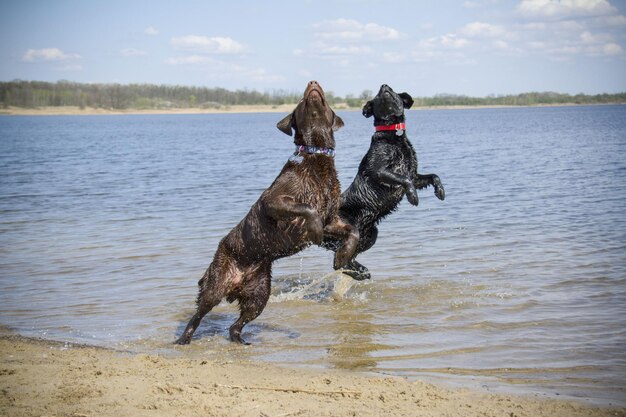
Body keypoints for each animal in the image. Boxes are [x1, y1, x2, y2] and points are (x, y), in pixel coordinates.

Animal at [176, 81, 358, 344]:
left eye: (323, 98)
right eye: (301, 101)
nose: (313, 83)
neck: (315, 152)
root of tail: (236, 284)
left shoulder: (331, 219)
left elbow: (352, 231)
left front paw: (343, 256)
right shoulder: (272, 201)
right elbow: (307, 208)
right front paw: (314, 231)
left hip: (260, 293)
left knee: (235, 325)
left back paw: (242, 342)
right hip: (217, 284)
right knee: (198, 314)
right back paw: (183, 339)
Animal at [324, 84, 442, 280]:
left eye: (393, 91)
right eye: (378, 96)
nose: (384, 86)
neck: (393, 134)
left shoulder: (414, 174)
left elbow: (432, 176)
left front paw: (440, 190)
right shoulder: (380, 171)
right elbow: (404, 180)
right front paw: (413, 196)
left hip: (370, 234)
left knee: (344, 258)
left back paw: (361, 271)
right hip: (350, 230)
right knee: (336, 262)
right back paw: (359, 273)